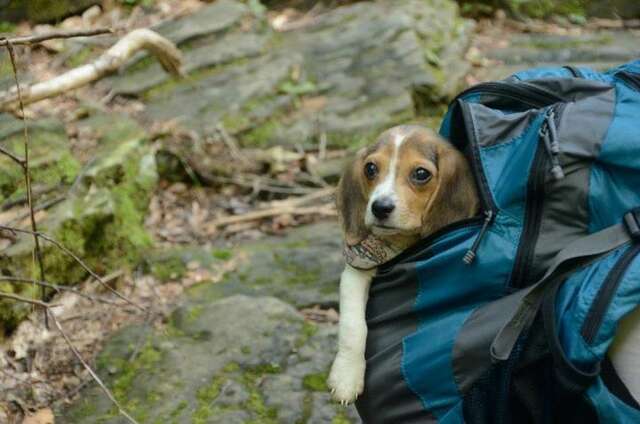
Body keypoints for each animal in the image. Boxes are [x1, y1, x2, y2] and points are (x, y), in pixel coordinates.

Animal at [327, 124, 479, 403]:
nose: (380, 207)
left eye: (421, 174)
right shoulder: (356, 270)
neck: (401, 242)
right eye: (370, 168)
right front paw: (347, 376)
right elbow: (354, 326)